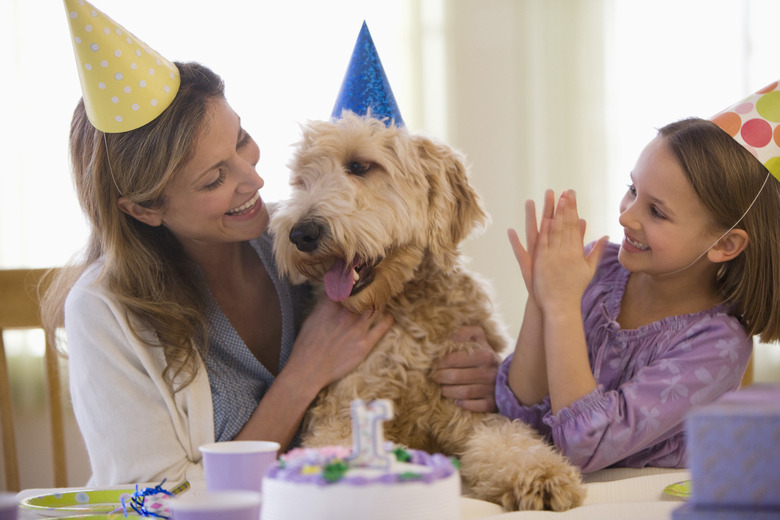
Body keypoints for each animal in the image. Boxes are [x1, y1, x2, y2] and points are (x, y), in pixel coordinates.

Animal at [268, 111, 584, 510]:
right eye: (302, 179)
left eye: (359, 167)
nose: (301, 234)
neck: (404, 305)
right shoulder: (339, 413)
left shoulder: (468, 403)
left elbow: (508, 440)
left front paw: (541, 475)